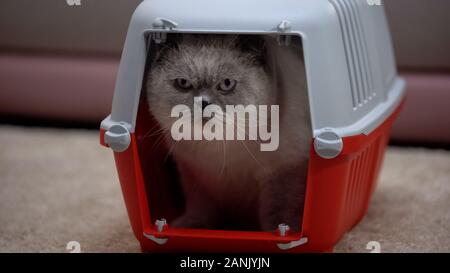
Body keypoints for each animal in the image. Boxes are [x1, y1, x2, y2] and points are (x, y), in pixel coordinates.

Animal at [146, 33, 312, 231]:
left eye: (226, 84)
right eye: (183, 83)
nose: (203, 103)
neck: (217, 152)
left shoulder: (285, 168)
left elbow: (278, 213)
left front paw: (282, 232)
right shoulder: (193, 175)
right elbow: (200, 209)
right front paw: (189, 228)